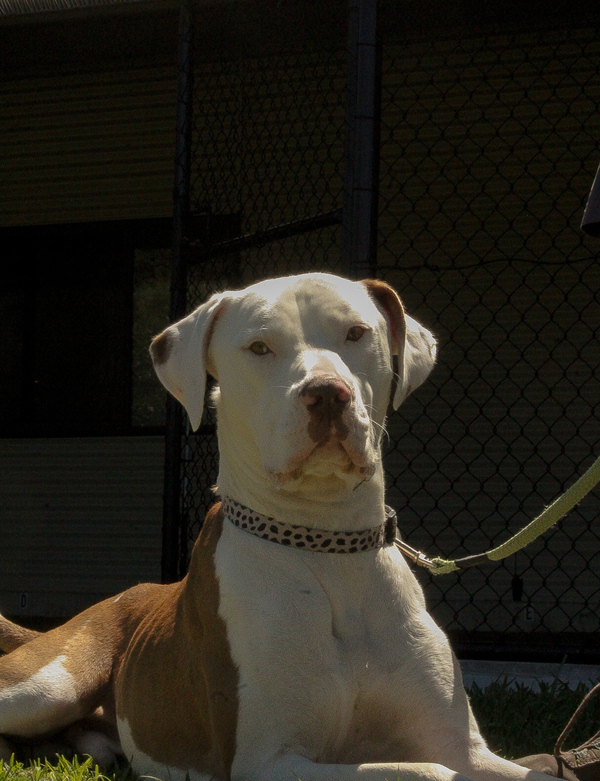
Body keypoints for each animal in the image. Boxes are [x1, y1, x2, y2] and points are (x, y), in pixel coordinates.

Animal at [0, 272, 555, 781]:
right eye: (259, 347)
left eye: (356, 333)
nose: (328, 393)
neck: (326, 542)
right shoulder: (267, 760)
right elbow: (427, 771)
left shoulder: (463, 746)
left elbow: (534, 770)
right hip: (47, 685)